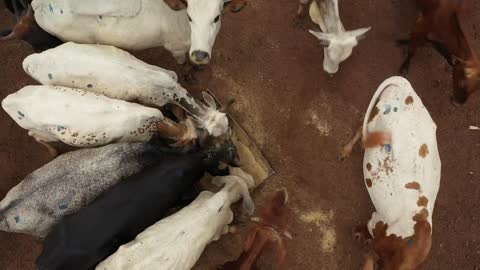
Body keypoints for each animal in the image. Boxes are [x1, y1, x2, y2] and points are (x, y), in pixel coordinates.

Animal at [342, 76, 438, 270]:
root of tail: (405, 86)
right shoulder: (376, 221)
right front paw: (359, 233)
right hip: (373, 122)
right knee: (359, 128)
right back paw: (346, 150)